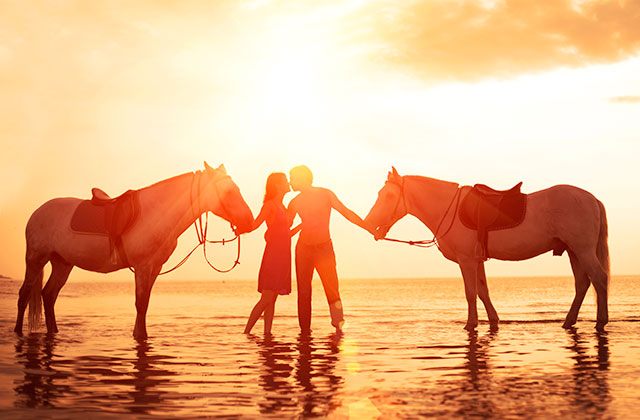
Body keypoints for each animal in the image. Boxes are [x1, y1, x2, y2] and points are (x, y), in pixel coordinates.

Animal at [13, 162, 254, 340]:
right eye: (229, 192)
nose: (249, 222)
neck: (156, 212)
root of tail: (38, 211)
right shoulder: (142, 266)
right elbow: (140, 303)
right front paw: (139, 335)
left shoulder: (154, 267)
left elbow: (145, 303)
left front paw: (141, 334)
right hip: (36, 259)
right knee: (25, 294)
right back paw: (17, 331)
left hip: (63, 263)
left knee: (49, 295)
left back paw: (54, 331)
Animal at [364, 167, 608, 332]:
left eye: (388, 196)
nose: (370, 223)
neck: (447, 208)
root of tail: (593, 199)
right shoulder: (477, 260)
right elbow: (483, 291)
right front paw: (493, 320)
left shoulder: (467, 261)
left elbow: (470, 292)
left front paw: (470, 324)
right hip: (574, 251)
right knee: (582, 284)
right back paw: (569, 321)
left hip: (583, 250)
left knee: (599, 278)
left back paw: (600, 321)